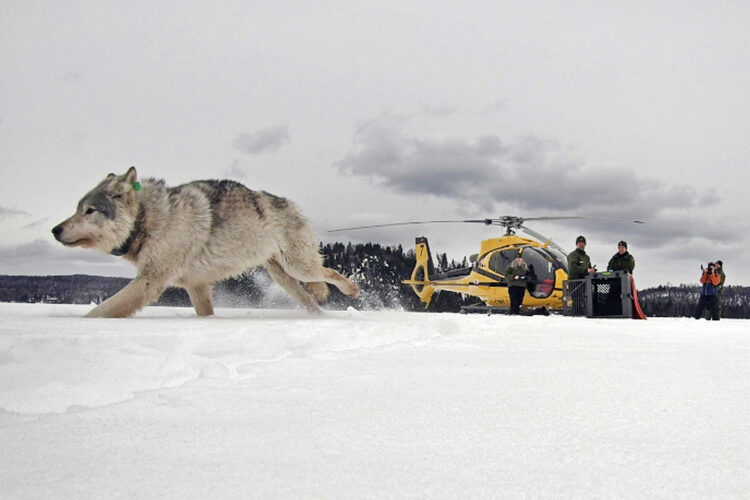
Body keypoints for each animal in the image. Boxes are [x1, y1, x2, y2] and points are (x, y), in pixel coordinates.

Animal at [51, 167, 359, 318]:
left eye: (90, 210)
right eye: (78, 208)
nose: (55, 229)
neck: (149, 219)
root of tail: (290, 203)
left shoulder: (150, 281)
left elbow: (99, 311)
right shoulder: (196, 285)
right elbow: (204, 314)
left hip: (299, 268)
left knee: (330, 273)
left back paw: (352, 290)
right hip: (284, 278)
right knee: (311, 299)